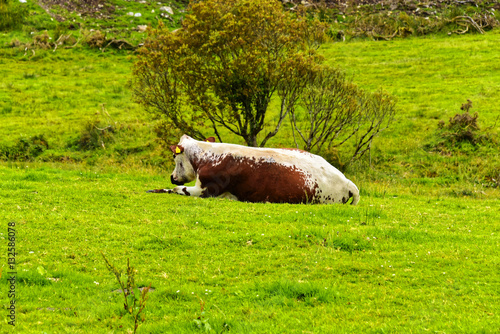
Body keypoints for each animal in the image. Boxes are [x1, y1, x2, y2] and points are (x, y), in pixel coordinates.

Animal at [147, 134, 360, 205]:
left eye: (174, 156)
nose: (172, 177)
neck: (207, 156)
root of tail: (347, 182)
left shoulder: (204, 191)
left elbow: (177, 190)